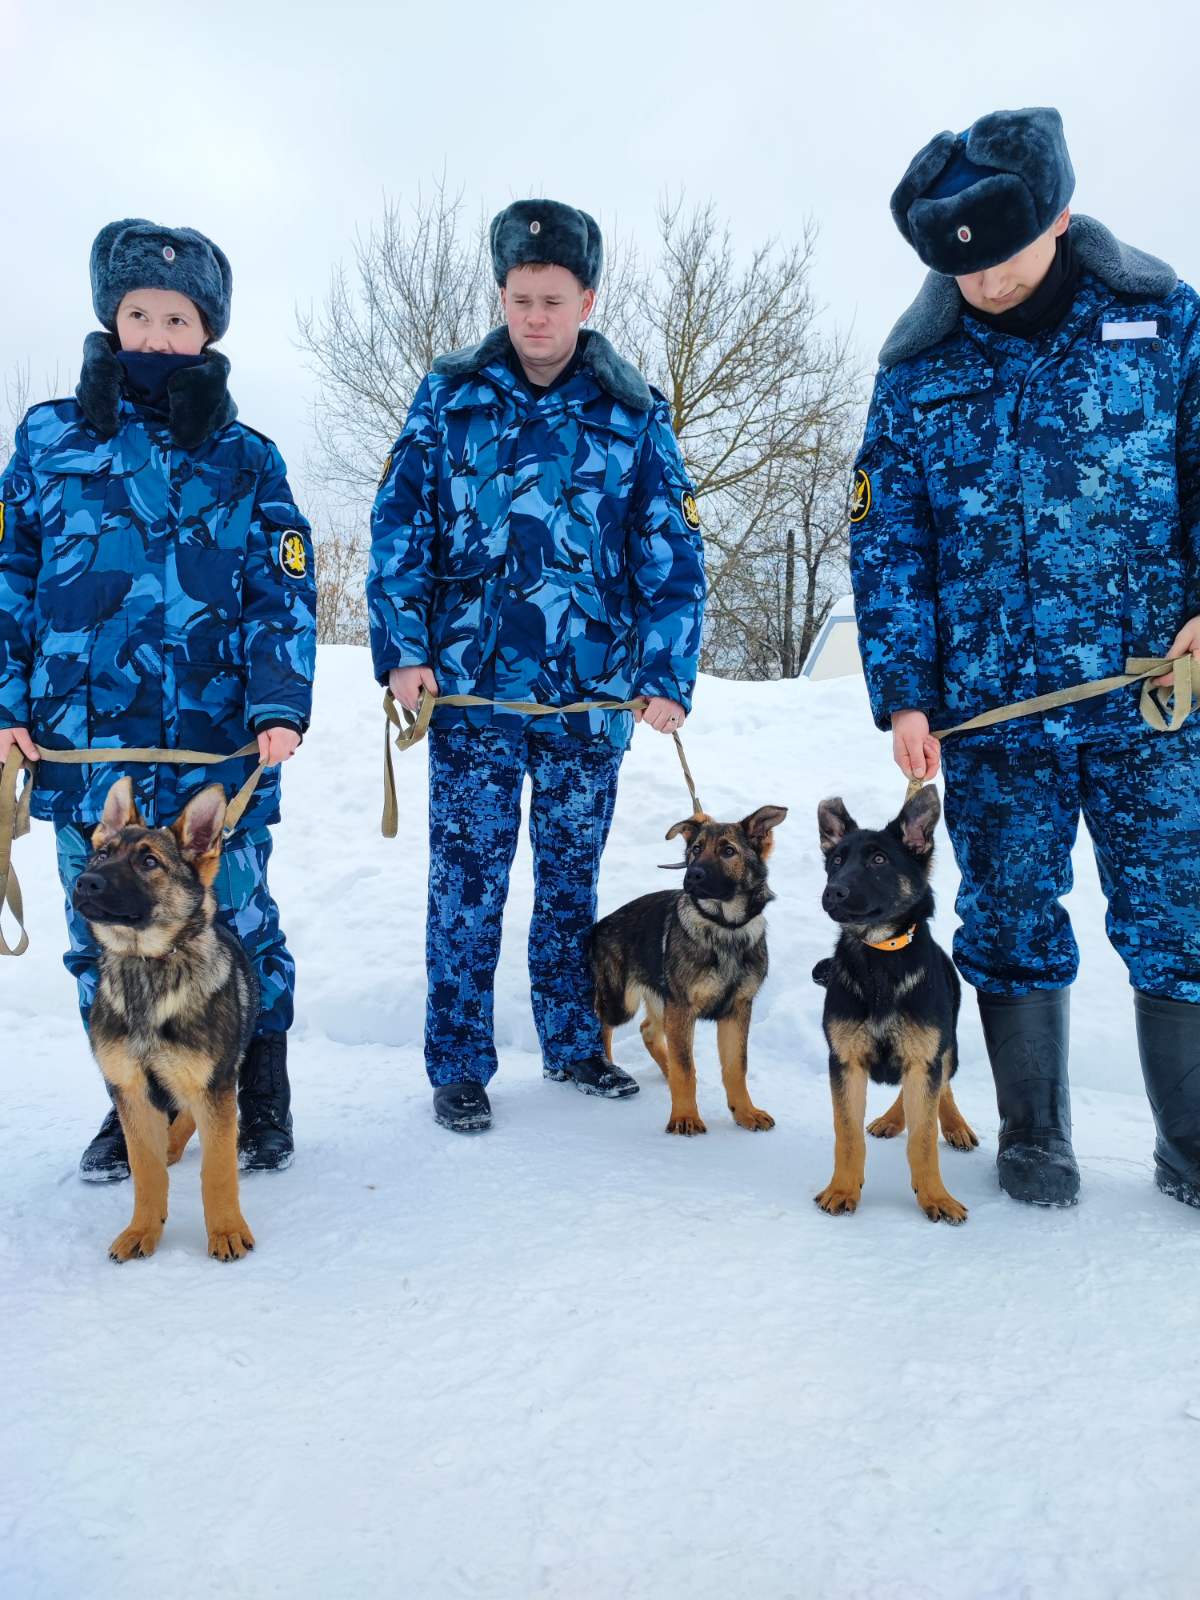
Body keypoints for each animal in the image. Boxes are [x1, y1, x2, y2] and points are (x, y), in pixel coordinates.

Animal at [72, 780, 259, 1267]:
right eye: (102, 854)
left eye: (149, 862)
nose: (84, 882)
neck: (146, 966)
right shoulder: (131, 1091)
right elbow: (147, 1171)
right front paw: (142, 1231)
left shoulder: (213, 1082)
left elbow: (217, 1169)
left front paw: (227, 1230)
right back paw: (171, 1143)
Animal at [588, 812, 790, 1139]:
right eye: (696, 849)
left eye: (728, 851)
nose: (692, 875)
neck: (724, 928)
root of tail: (600, 924)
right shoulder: (683, 1007)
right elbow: (686, 1069)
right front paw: (685, 1117)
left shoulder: (736, 1009)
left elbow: (735, 1067)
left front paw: (745, 1113)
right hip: (623, 1001)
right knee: (602, 1024)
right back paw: (610, 1068)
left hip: (662, 1000)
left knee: (648, 1030)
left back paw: (665, 1068)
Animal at [819, 787, 979, 1222]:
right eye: (836, 861)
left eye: (878, 860)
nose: (832, 892)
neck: (879, 957)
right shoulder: (845, 1062)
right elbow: (846, 1134)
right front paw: (842, 1188)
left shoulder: (924, 1058)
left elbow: (922, 1138)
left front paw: (935, 1196)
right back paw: (892, 1119)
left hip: (945, 1047)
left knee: (943, 1086)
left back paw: (952, 1124)